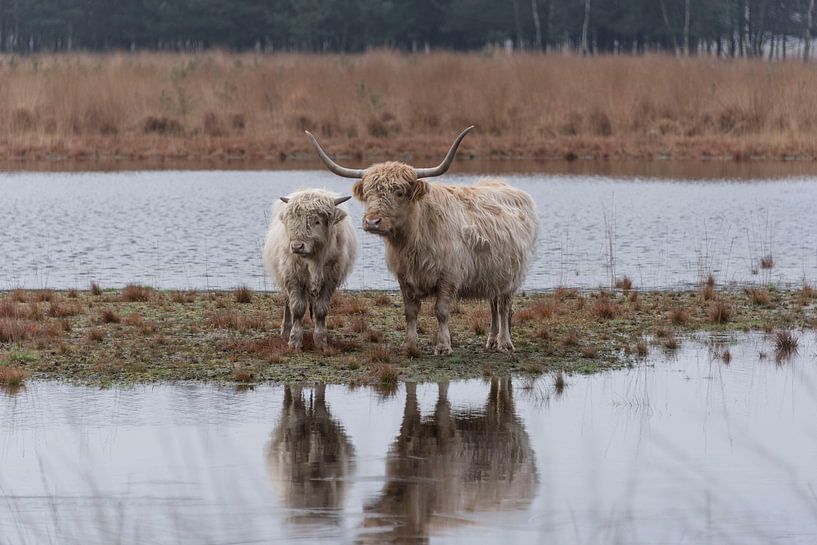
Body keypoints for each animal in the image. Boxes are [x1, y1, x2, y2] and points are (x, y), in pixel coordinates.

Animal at [264, 189, 356, 350]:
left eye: (317, 221)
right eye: (293, 221)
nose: (296, 246)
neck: (314, 260)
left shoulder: (329, 280)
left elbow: (321, 310)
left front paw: (321, 341)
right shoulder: (293, 277)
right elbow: (297, 308)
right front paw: (294, 341)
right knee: (287, 303)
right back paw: (285, 331)